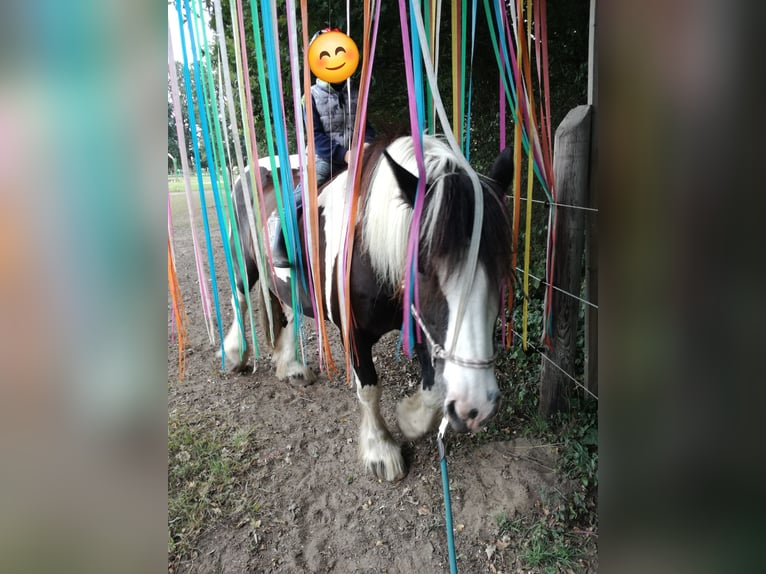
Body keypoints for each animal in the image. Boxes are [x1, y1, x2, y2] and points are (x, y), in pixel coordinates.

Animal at [222, 137, 516, 484]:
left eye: (500, 269)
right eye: (422, 266)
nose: (476, 407)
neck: (369, 251)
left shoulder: (419, 324)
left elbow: (432, 390)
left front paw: (409, 419)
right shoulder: (354, 332)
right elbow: (369, 389)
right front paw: (381, 450)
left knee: (288, 311)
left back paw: (290, 367)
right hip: (245, 263)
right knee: (240, 300)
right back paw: (234, 355)